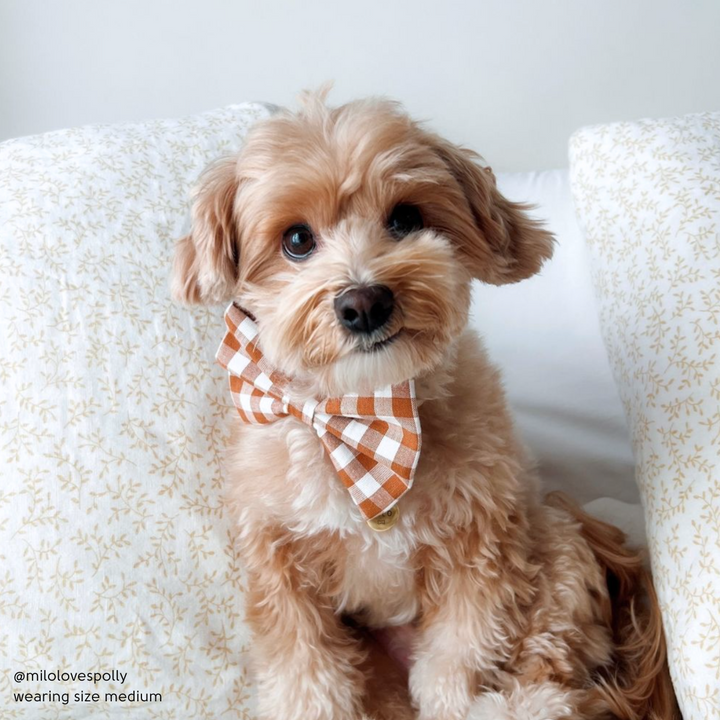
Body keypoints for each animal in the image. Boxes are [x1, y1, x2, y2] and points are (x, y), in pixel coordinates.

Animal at [172, 93, 676, 720]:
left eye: (406, 219)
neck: (370, 415)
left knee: (553, 685)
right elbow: (305, 673)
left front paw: (456, 700)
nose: (364, 301)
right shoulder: (278, 560)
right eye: (297, 240)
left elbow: (458, 655)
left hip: (556, 555)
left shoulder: (483, 543)